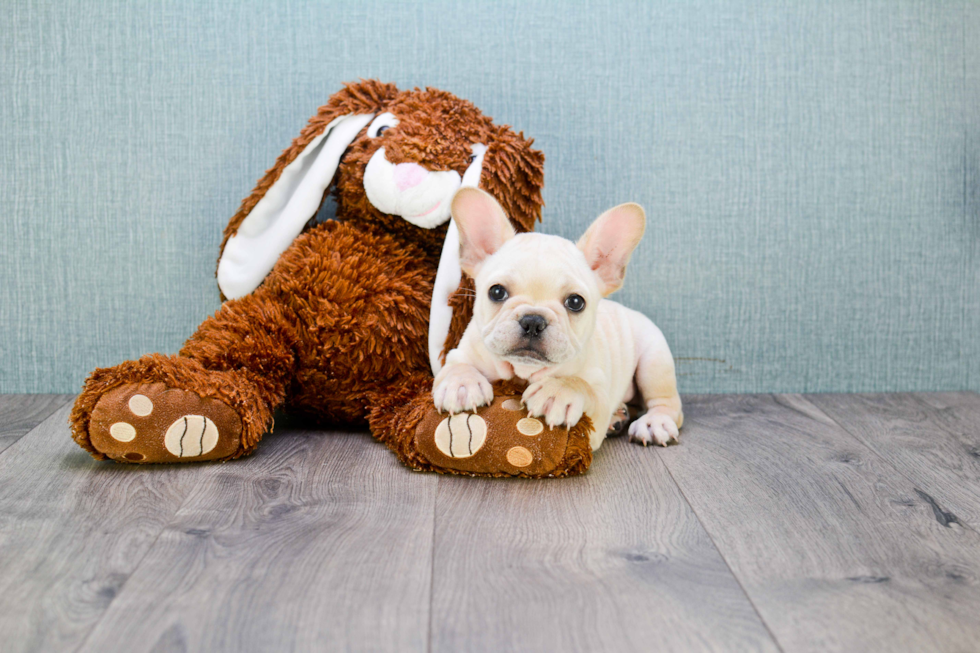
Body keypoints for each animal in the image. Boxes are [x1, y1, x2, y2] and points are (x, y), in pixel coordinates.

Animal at [432, 185, 684, 448]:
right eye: (497, 292)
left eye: (575, 302)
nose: (533, 320)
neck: (523, 372)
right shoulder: (460, 353)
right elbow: (457, 366)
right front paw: (461, 384)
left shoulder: (598, 402)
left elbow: (581, 385)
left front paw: (557, 391)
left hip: (654, 361)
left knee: (668, 404)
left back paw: (654, 422)